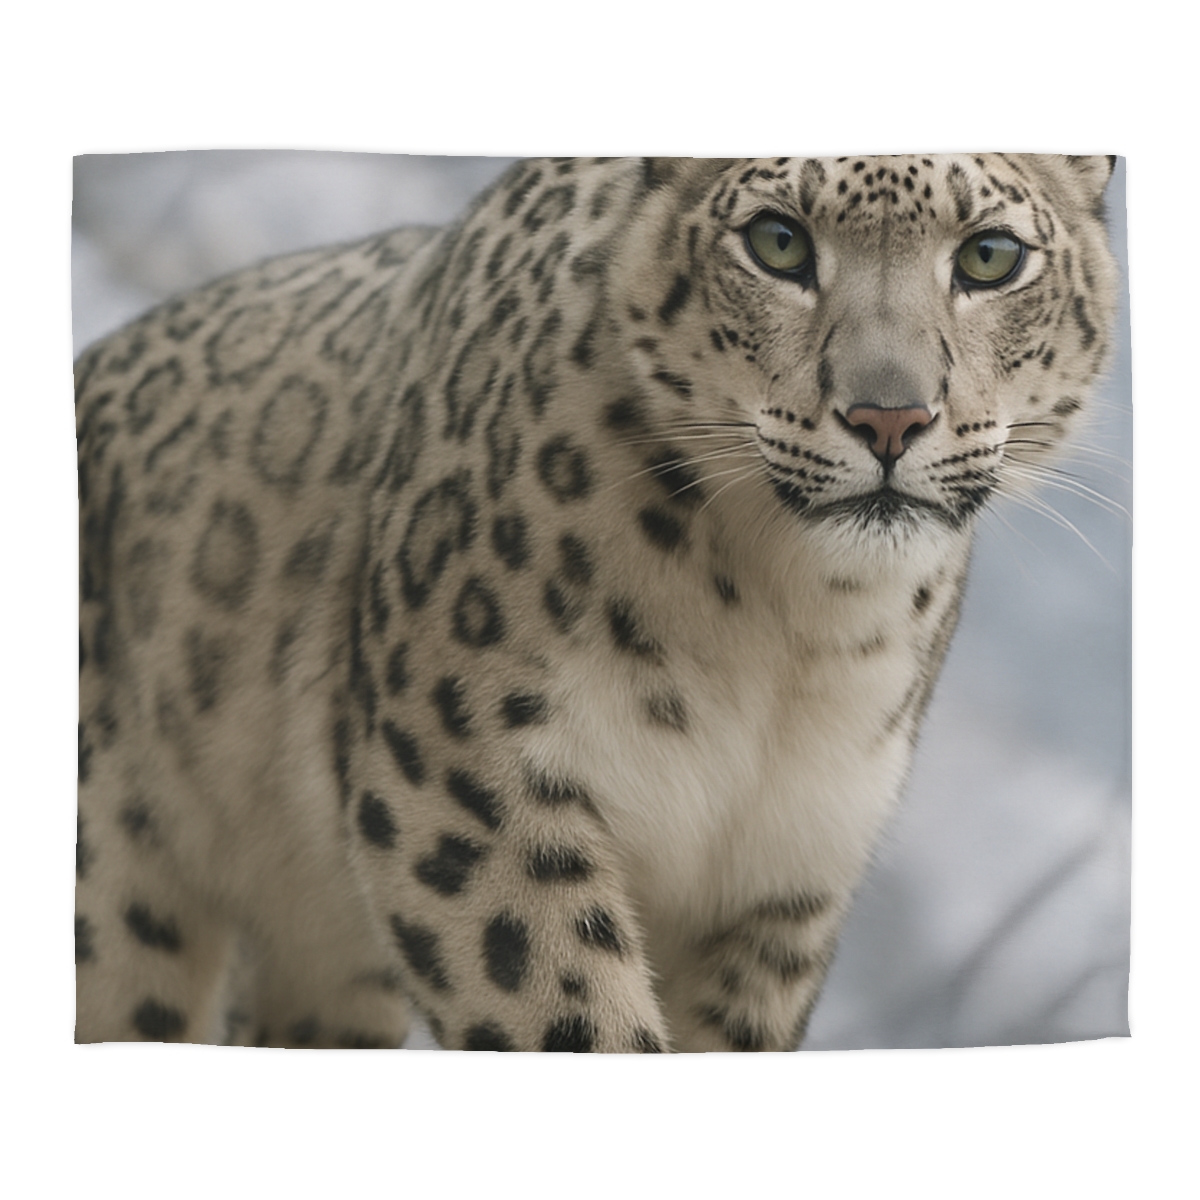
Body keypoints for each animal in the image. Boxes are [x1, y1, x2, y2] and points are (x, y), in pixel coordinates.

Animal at [74, 154, 1119, 1052]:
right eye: (778, 242)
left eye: (990, 256)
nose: (890, 417)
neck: (790, 627)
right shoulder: (469, 786)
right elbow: (573, 1013)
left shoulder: (785, 877)